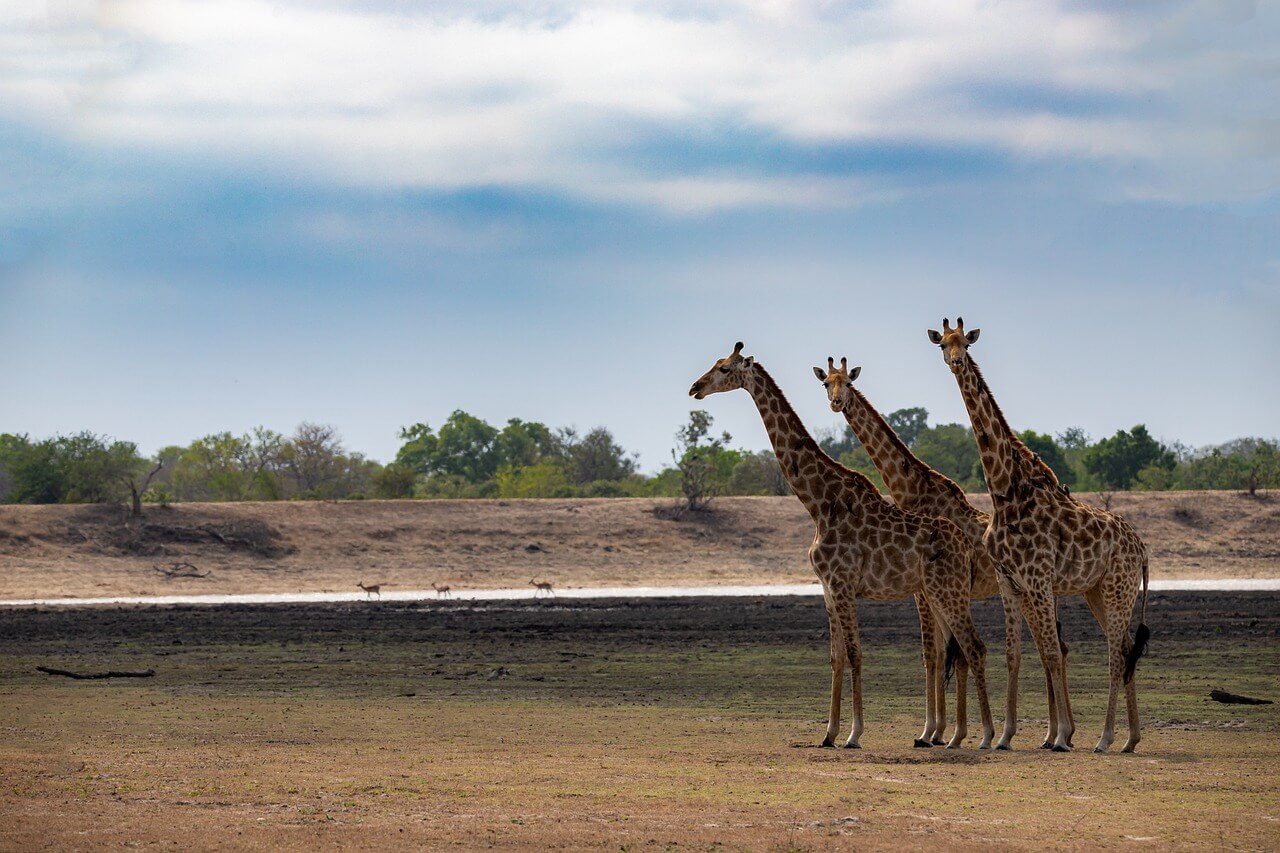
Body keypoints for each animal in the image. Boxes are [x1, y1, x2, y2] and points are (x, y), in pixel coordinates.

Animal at [686, 338, 993, 742]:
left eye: (724, 368)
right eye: (714, 363)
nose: (695, 388)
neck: (818, 502)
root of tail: (966, 547)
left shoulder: (844, 584)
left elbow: (856, 653)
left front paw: (854, 734)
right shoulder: (827, 589)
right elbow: (835, 657)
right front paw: (828, 734)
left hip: (950, 592)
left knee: (975, 647)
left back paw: (988, 736)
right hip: (940, 593)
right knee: (961, 650)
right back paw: (963, 735)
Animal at [819, 350, 1059, 742]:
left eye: (848, 382)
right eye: (827, 382)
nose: (837, 403)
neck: (911, 490)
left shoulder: (924, 589)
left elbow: (936, 653)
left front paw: (934, 731)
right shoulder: (929, 587)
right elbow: (944, 654)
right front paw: (940, 732)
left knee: (1051, 646)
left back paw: (1053, 734)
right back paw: (1050, 734)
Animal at [926, 318, 1157, 753]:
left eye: (965, 341)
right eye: (942, 344)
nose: (956, 361)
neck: (1005, 493)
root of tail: (1142, 549)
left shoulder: (1037, 578)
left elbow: (1050, 653)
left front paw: (1062, 736)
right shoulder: (1009, 582)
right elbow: (1014, 655)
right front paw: (1002, 736)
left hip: (1118, 588)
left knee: (1116, 655)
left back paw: (1105, 738)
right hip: (1097, 591)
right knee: (1124, 648)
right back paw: (1130, 739)